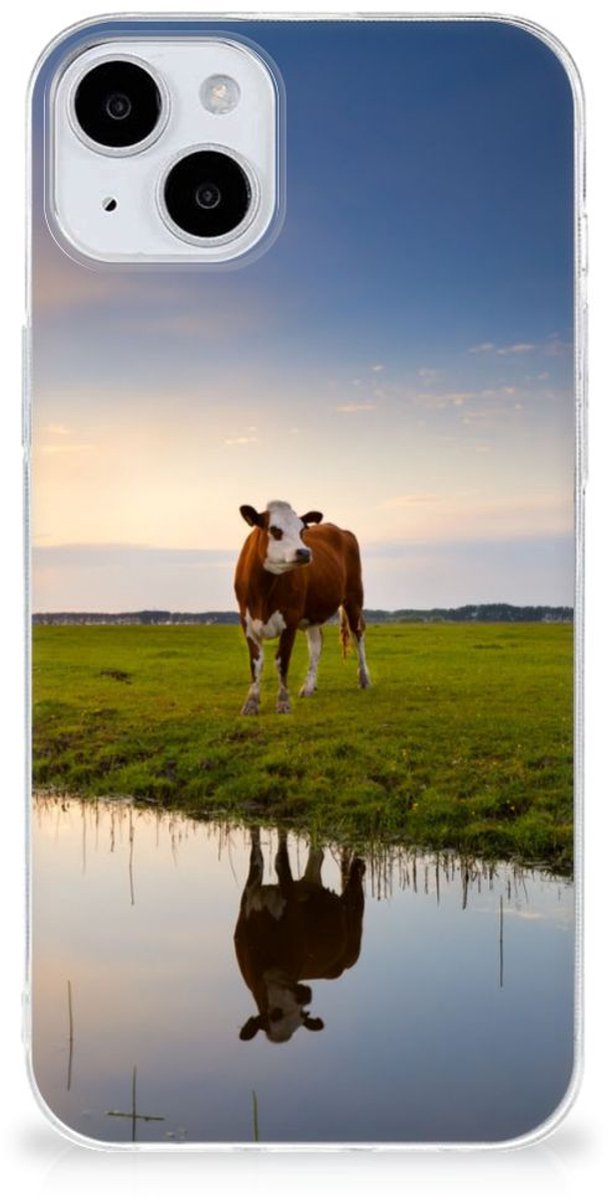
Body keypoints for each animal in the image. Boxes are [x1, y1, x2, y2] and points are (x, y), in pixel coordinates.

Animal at [234, 500, 371, 715]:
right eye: (274, 530)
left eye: (301, 530)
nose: (305, 552)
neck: (263, 592)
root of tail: (340, 530)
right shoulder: (247, 622)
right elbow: (256, 663)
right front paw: (251, 703)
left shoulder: (290, 620)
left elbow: (282, 661)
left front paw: (283, 702)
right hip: (313, 614)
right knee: (316, 644)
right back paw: (308, 687)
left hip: (354, 598)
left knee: (358, 635)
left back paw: (364, 679)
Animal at [234, 828, 365, 1044]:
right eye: (274, 1014)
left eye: (302, 1015)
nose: (306, 996)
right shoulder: (249, 897)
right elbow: (257, 856)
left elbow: (280, 860)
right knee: (317, 855)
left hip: (354, 931)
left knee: (355, 893)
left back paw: (359, 865)